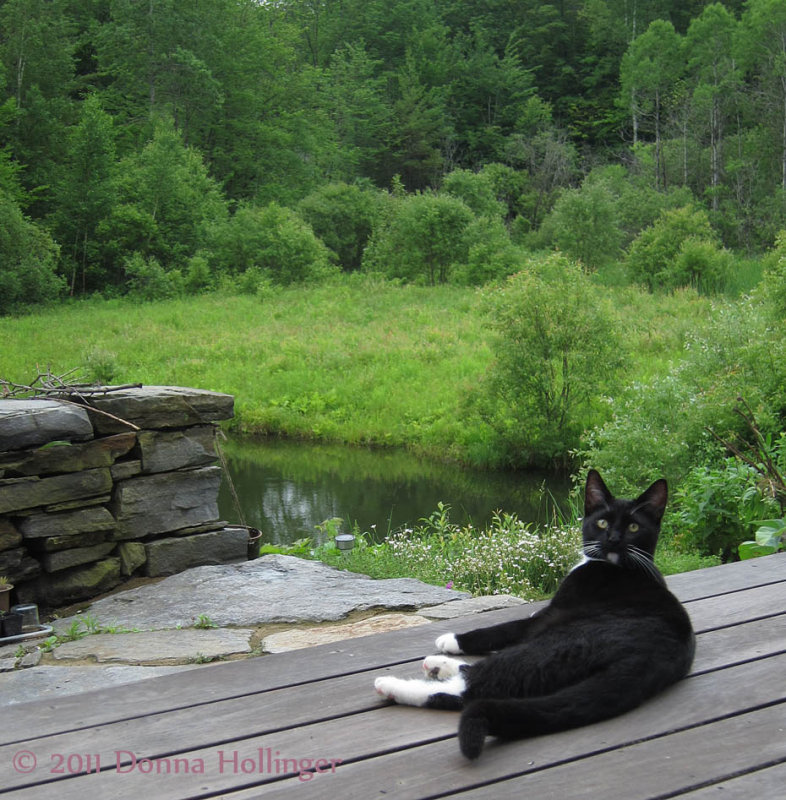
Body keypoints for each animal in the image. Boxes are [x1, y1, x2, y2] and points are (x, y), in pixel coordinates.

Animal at [372, 472, 692, 760]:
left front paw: (452, 638)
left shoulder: (548, 616)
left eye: (634, 527)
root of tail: (649, 659)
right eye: (602, 522)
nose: (613, 539)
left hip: (551, 647)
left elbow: (504, 628)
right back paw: (438, 666)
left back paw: (393, 685)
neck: (618, 567)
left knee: (473, 688)